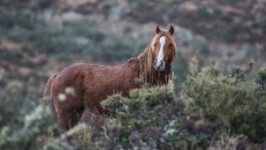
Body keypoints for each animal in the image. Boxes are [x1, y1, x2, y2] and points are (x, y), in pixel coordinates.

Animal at [43, 25, 177, 130]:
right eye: (155, 44)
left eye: (170, 44)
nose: (159, 64)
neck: (143, 74)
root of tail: (57, 75)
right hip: (66, 115)